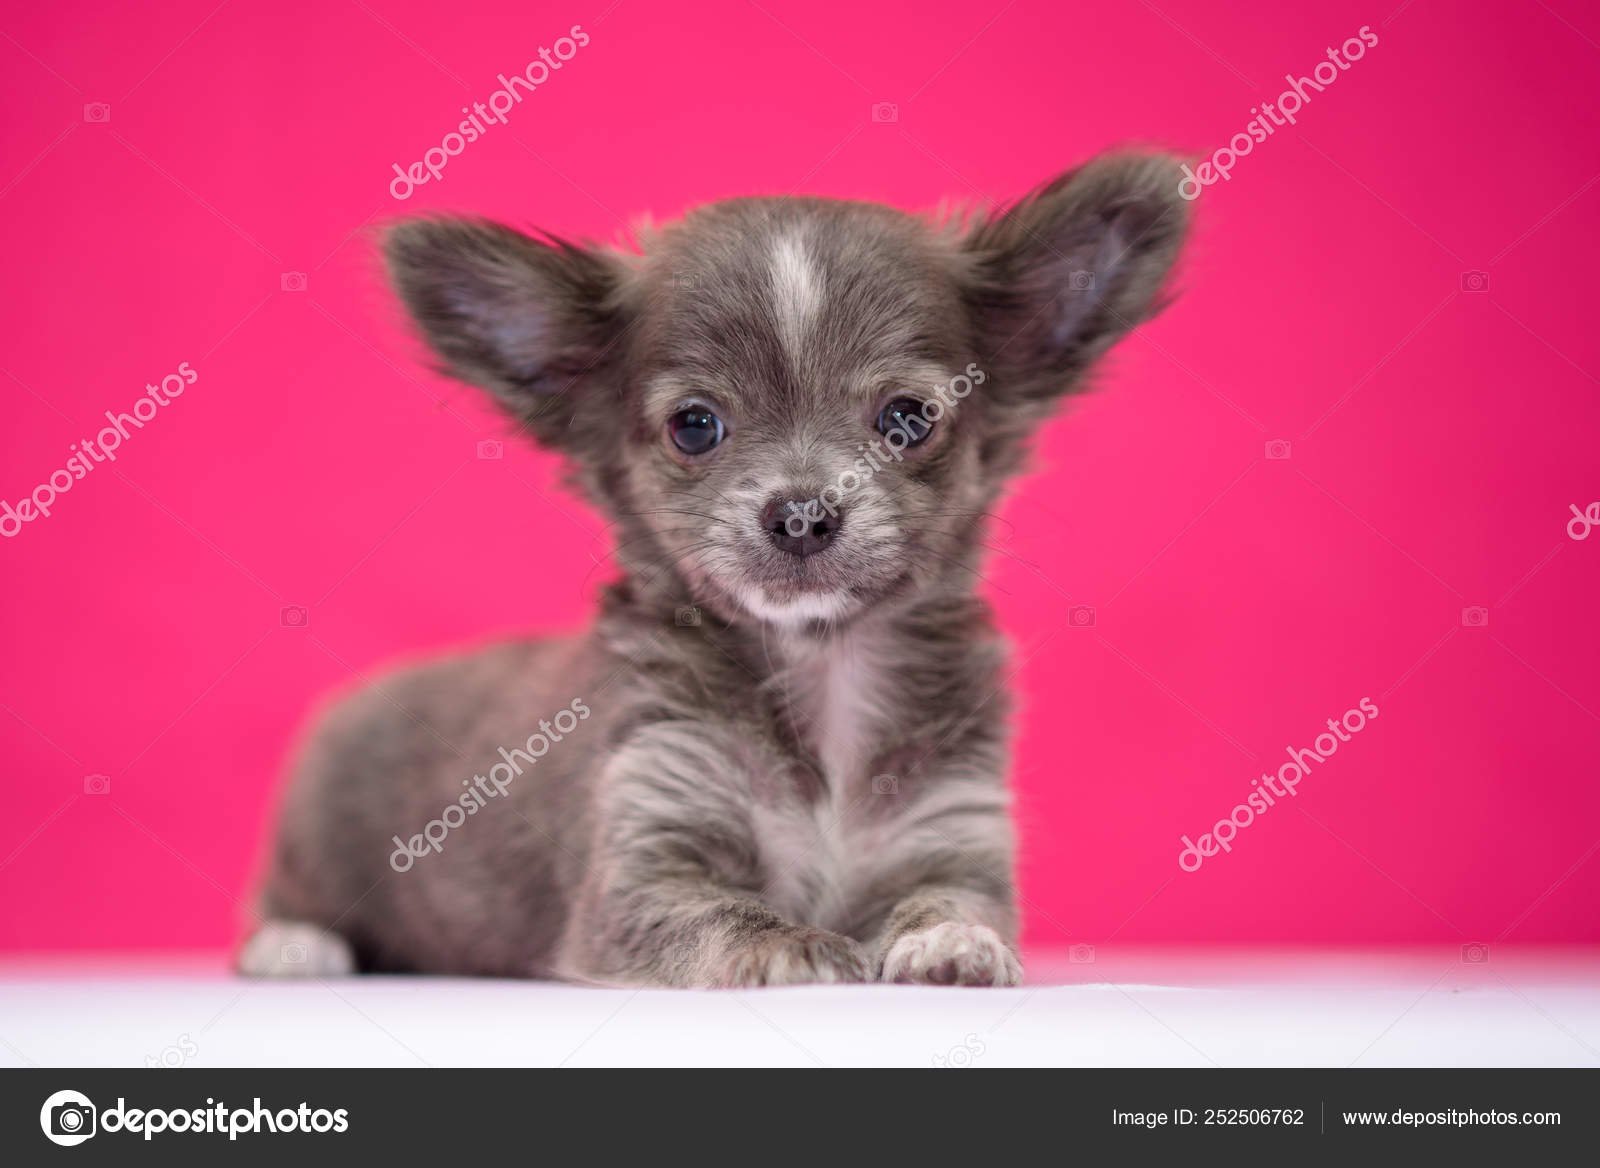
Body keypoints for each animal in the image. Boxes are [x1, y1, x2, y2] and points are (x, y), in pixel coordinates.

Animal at [240, 152, 1190, 985]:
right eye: (695, 426)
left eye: (909, 419)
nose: (803, 512)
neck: (824, 666)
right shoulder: (642, 868)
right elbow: (717, 913)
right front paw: (791, 945)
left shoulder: (951, 835)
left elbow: (955, 902)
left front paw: (952, 943)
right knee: (288, 903)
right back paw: (293, 947)